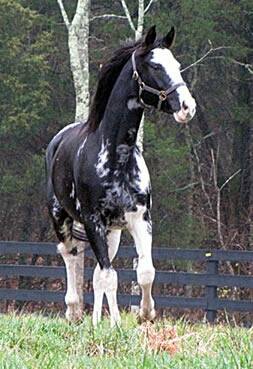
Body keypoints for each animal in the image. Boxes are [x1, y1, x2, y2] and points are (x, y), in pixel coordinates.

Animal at [45, 25, 196, 324]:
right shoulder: (93, 221)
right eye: (154, 66)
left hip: (112, 231)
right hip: (62, 219)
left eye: (177, 65)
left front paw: (145, 313)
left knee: (94, 272)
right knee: (71, 256)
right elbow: (109, 275)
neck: (117, 156)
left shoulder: (140, 218)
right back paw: (73, 310)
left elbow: (144, 271)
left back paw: (95, 320)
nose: (188, 107)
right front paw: (116, 324)